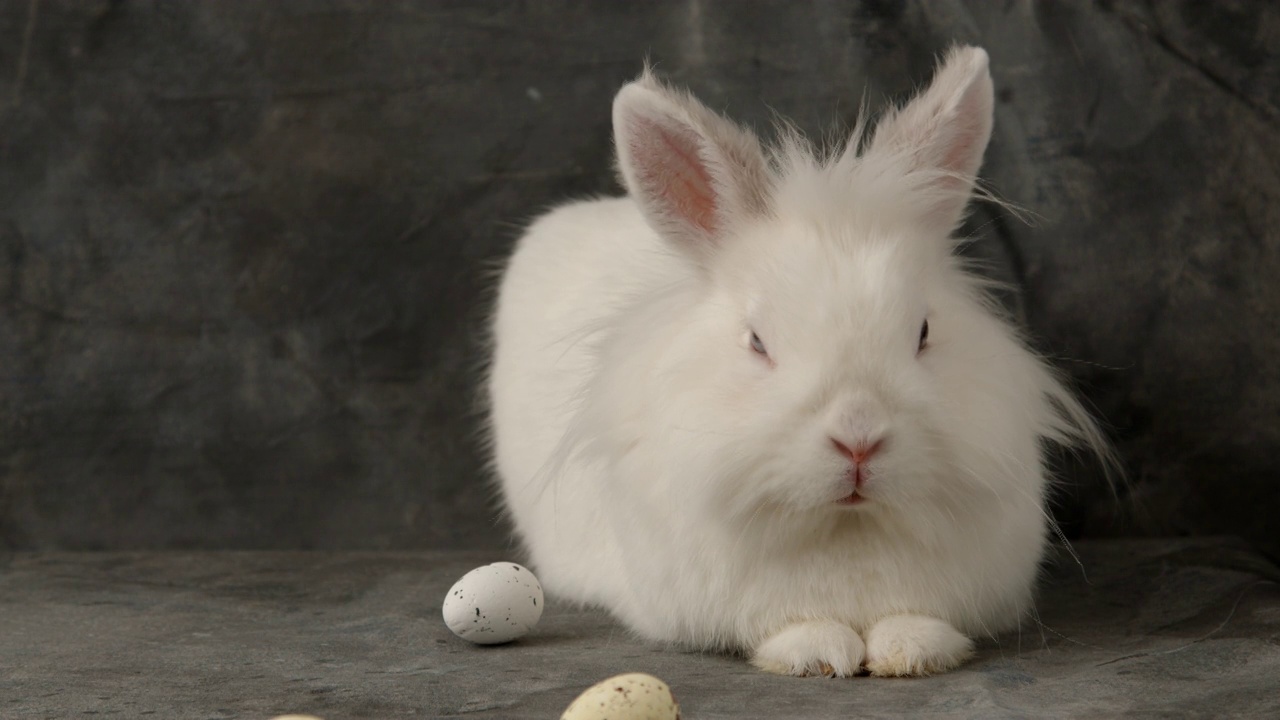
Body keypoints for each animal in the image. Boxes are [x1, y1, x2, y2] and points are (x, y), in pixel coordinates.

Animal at [481, 47, 1111, 676]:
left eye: (925, 332)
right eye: (758, 342)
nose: (858, 440)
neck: (845, 526)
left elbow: (913, 621)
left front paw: (910, 650)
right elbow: (791, 627)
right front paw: (818, 652)